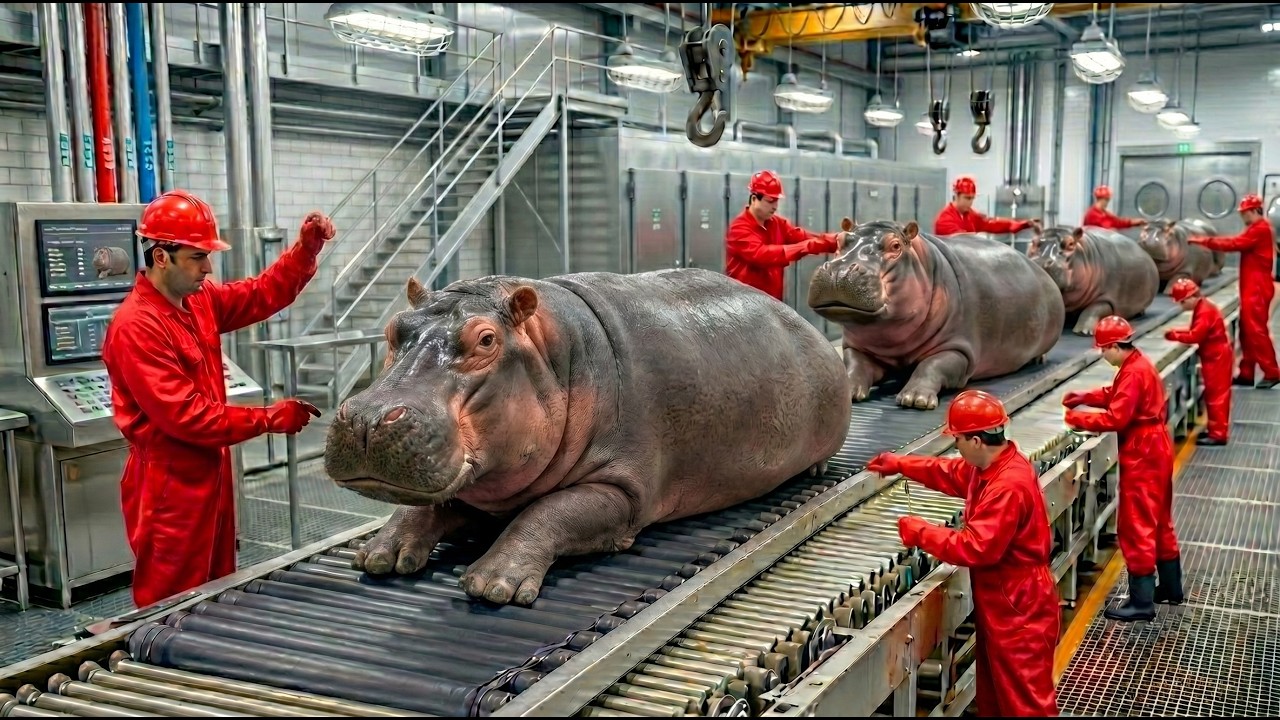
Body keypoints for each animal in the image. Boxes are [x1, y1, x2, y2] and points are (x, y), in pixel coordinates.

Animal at [324, 269, 852, 606]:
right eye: (394, 328)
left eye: (486, 339)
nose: (368, 418)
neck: (555, 354)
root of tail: (806, 323)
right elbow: (429, 504)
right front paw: (380, 553)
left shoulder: (625, 490)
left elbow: (549, 512)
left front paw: (493, 583)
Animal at [807, 218, 1065, 410]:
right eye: (840, 240)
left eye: (895, 246)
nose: (840, 271)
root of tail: (1041, 270)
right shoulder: (857, 346)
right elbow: (854, 365)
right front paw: (847, 391)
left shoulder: (959, 348)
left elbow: (933, 365)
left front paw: (915, 400)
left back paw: (1038, 359)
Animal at [1028, 226, 1160, 335]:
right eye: (1033, 241)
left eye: (1070, 243)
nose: (1041, 261)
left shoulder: (1108, 297)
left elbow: (1094, 308)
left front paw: (1083, 332)